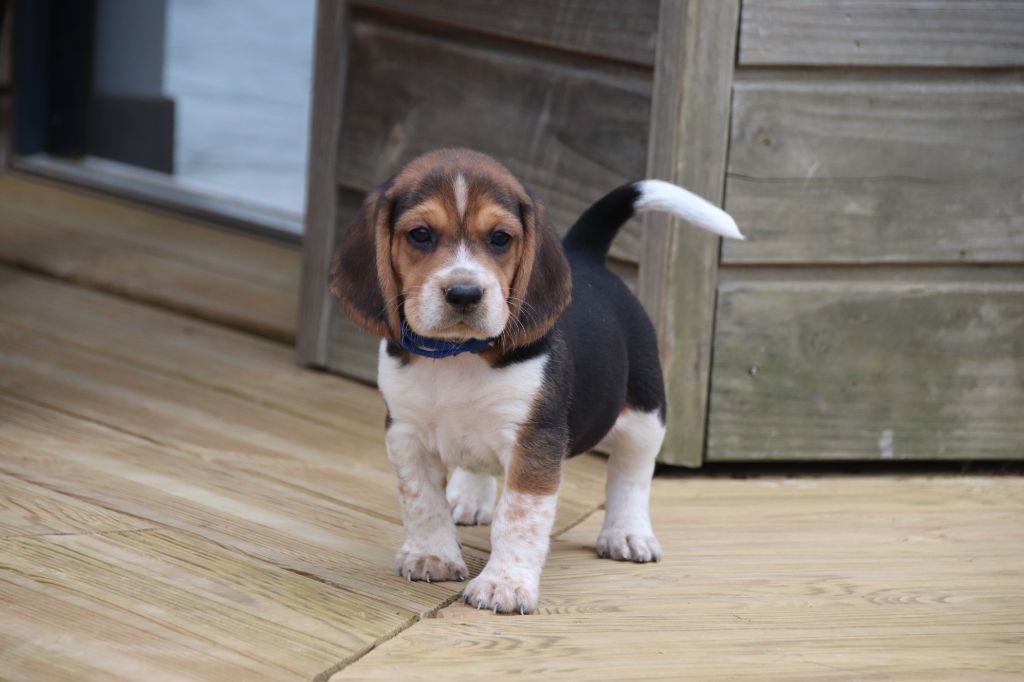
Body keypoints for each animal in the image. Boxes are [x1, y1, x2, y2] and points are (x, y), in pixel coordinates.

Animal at [331, 147, 741, 610]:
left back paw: (627, 533)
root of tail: (585, 255)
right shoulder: (406, 434)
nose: (464, 294)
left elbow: (519, 517)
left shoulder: (534, 441)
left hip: (646, 414)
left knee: (631, 475)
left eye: (500, 238)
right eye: (420, 234)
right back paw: (468, 497)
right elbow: (421, 501)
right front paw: (431, 554)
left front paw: (504, 584)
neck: (461, 354)